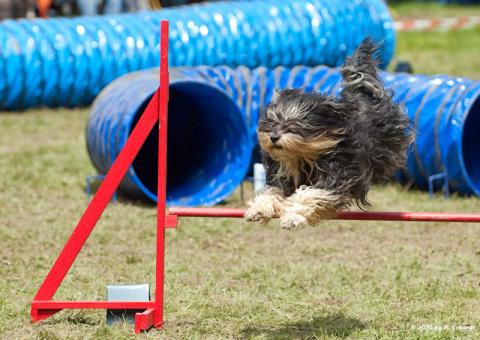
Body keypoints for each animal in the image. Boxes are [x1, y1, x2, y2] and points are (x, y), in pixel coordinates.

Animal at [244, 38, 412, 230]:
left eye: (293, 125)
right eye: (273, 122)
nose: (274, 137)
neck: (303, 157)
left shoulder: (338, 174)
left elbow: (309, 194)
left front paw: (292, 218)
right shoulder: (282, 176)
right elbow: (272, 192)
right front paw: (258, 209)